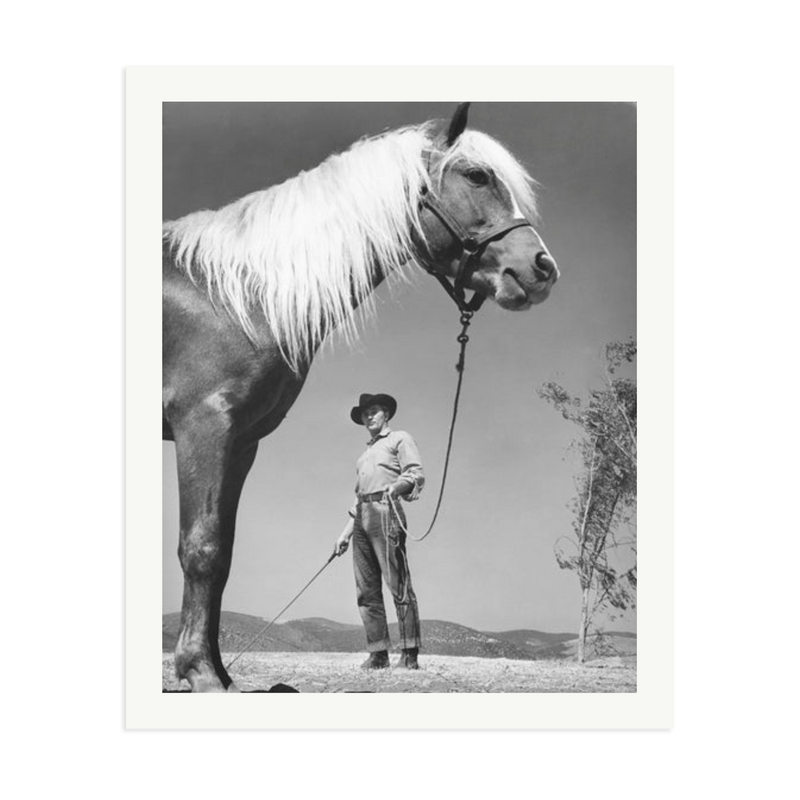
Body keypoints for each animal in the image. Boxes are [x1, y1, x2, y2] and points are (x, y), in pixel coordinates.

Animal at [162, 103, 559, 692]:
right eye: (476, 175)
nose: (542, 269)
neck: (231, 293)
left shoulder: (242, 442)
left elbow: (225, 552)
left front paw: (218, 672)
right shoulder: (203, 426)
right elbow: (203, 548)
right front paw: (201, 674)